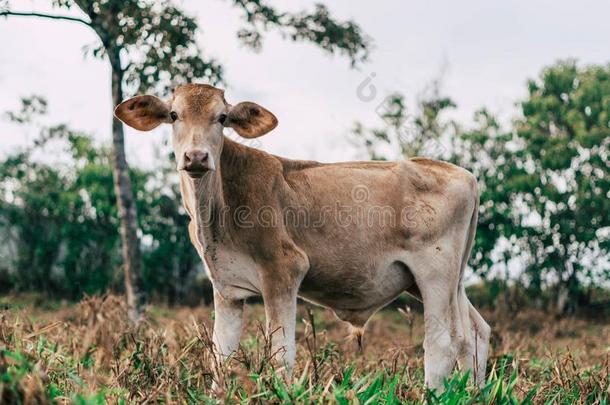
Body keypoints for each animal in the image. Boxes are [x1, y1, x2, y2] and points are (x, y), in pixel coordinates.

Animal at [114, 83, 490, 388]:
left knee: (443, 342)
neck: (214, 212)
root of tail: (464, 174)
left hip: (434, 273)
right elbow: (221, 356)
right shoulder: (226, 287)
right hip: (448, 281)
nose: (196, 156)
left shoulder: (284, 270)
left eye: (221, 118)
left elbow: (281, 354)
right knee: (475, 332)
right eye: (174, 115)